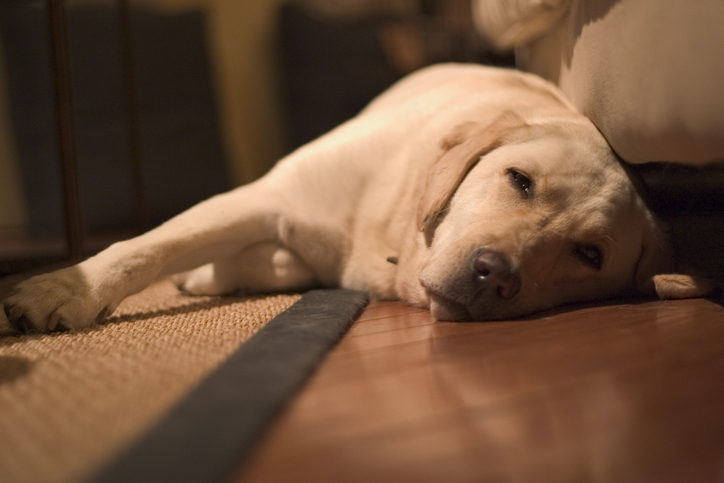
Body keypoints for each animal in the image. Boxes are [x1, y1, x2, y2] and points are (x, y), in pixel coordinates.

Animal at [1, 63, 712, 332]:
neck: (386, 237)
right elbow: (150, 245)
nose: (494, 275)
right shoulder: (268, 193)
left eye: (589, 254)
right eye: (520, 181)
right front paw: (63, 290)